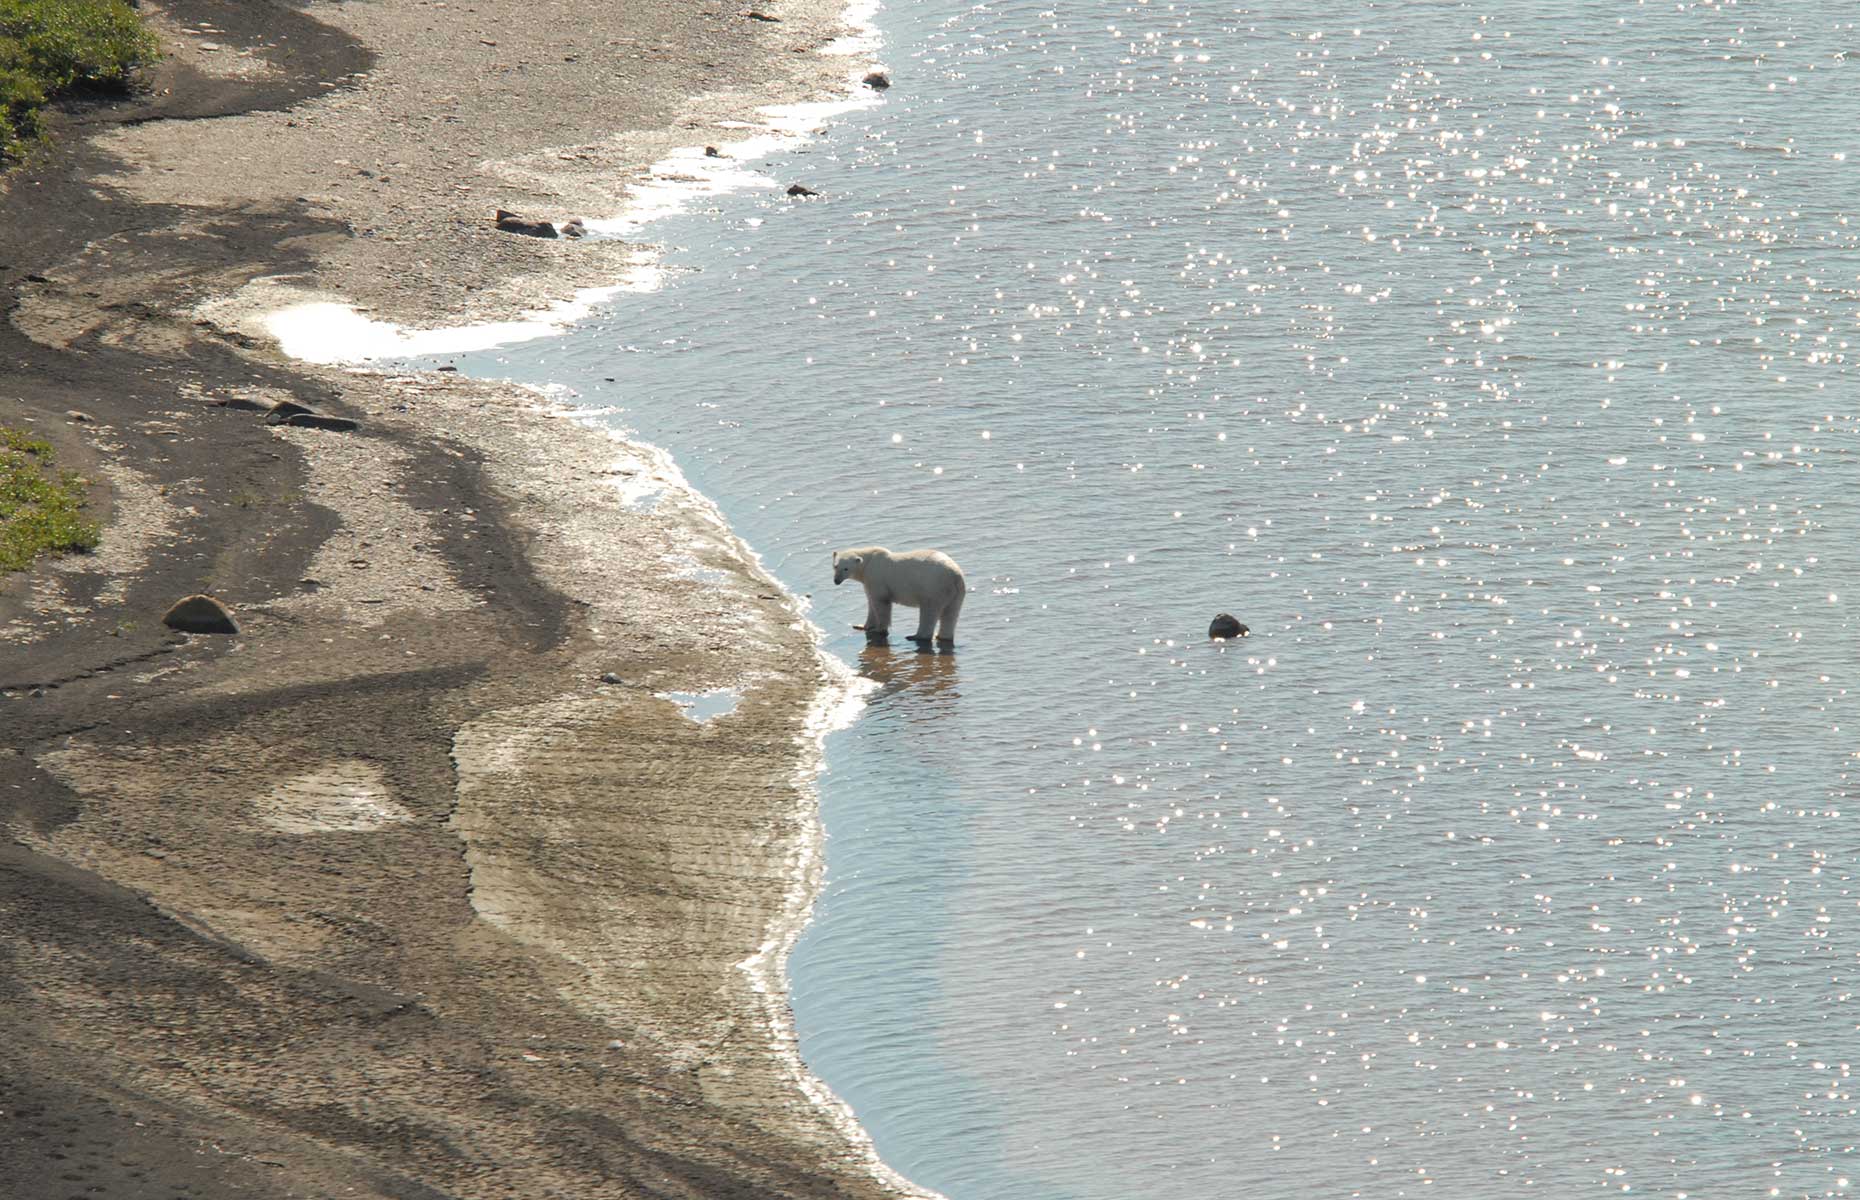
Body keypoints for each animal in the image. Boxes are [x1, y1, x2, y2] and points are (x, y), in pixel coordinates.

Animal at [833, 546, 967, 647]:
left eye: (846, 568)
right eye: (835, 566)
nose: (836, 581)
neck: (869, 562)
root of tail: (955, 575)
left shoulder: (877, 578)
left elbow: (881, 603)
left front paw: (879, 630)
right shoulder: (868, 582)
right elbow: (871, 602)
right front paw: (862, 626)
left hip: (933, 588)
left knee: (929, 611)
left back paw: (915, 636)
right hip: (956, 593)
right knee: (951, 613)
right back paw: (942, 636)